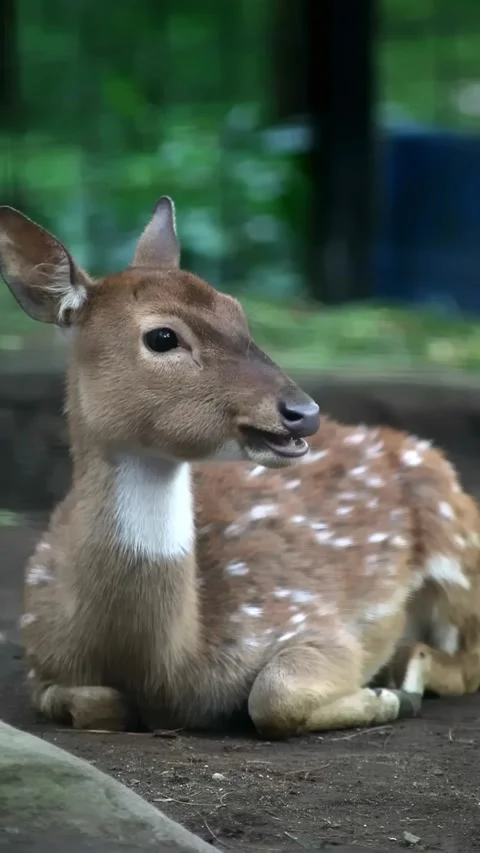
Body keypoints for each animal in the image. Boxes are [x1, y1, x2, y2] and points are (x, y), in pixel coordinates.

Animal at [0, 196, 479, 739]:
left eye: (238, 311)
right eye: (162, 337)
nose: (302, 412)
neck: (159, 665)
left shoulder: (309, 616)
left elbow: (274, 696)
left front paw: (382, 697)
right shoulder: (39, 652)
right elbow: (91, 703)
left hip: (457, 547)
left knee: (465, 662)